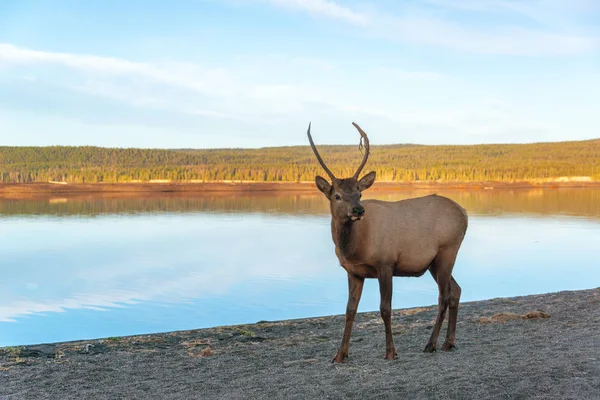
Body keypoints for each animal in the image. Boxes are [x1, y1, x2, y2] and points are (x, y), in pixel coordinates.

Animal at [310, 121, 468, 362]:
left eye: (359, 193)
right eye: (337, 195)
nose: (358, 210)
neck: (354, 248)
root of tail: (465, 213)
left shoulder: (385, 263)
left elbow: (385, 308)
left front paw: (391, 352)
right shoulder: (353, 272)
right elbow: (349, 310)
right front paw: (340, 355)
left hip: (447, 251)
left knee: (444, 296)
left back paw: (430, 344)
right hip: (434, 262)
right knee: (456, 290)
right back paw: (448, 342)